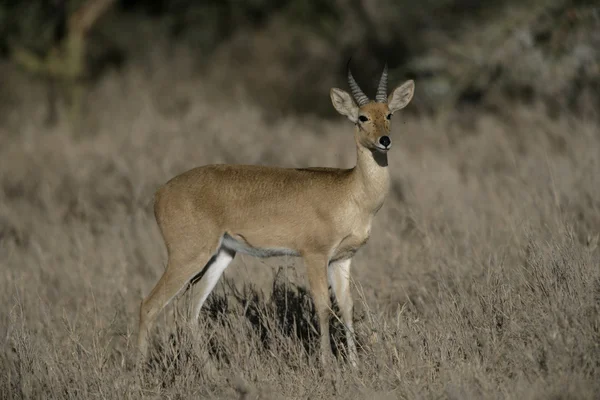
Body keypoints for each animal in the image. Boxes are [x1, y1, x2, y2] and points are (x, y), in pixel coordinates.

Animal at [138, 63, 414, 368]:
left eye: (389, 114)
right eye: (362, 117)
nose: (384, 141)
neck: (351, 191)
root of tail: (160, 193)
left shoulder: (342, 259)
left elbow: (346, 306)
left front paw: (353, 366)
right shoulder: (314, 255)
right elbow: (323, 306)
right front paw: (327, 365)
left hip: (221, 255)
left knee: (191, 308)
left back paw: (211, 371)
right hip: (187, 256)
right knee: (149, 305)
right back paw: (139, 372)